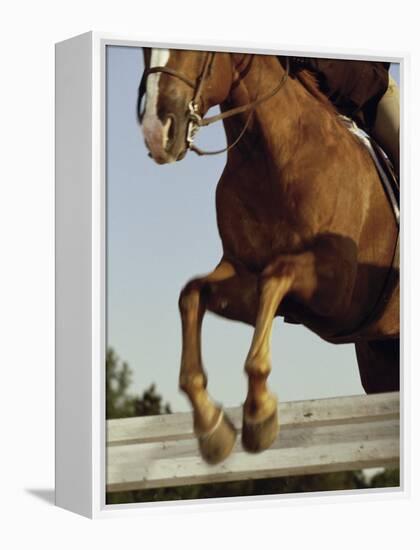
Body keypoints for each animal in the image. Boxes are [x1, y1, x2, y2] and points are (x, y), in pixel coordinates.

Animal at [139, 48, 400, 466]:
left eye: (198, 53)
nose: (155, 133)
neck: (275, 154)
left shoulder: (339, 292)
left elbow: (275, 277)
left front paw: (259, 415)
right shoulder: (242, 273)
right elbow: (193, 294)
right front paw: (212, 428)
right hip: (381, 359)